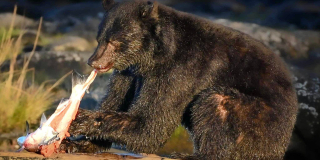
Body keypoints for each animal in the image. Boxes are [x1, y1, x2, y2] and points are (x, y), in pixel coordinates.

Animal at [63, 0, 298, 159]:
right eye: (99, 39)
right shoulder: (129, 72)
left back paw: (192, 155)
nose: (93, 61)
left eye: (114, 41)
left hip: (259, 122)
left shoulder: (181, 69)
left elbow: (151, 124)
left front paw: (80, 119)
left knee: (216, 102)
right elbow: (117, 100)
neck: (154, 54)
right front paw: (79, 144)